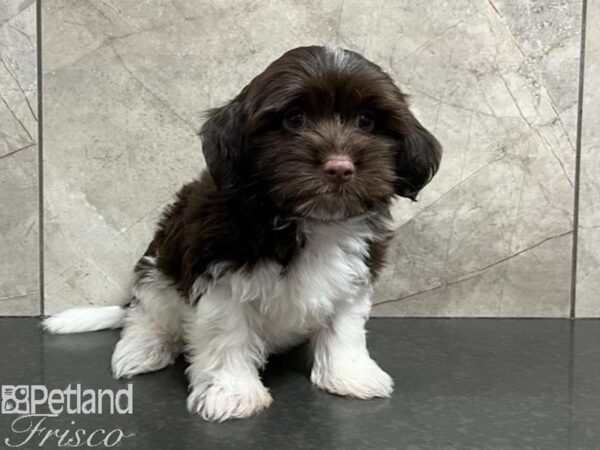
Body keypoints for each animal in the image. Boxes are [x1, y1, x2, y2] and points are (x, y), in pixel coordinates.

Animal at [44, 45, 440, 422]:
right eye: (295, 119)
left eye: (366, 121)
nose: (340, 167)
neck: (304, 219)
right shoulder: (218, 277)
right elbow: (228, 335)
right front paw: (232, 392)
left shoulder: (354, 276)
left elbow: (345, 329)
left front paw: (349, 375)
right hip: (158, 267)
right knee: (145, 313)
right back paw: (142, 347)